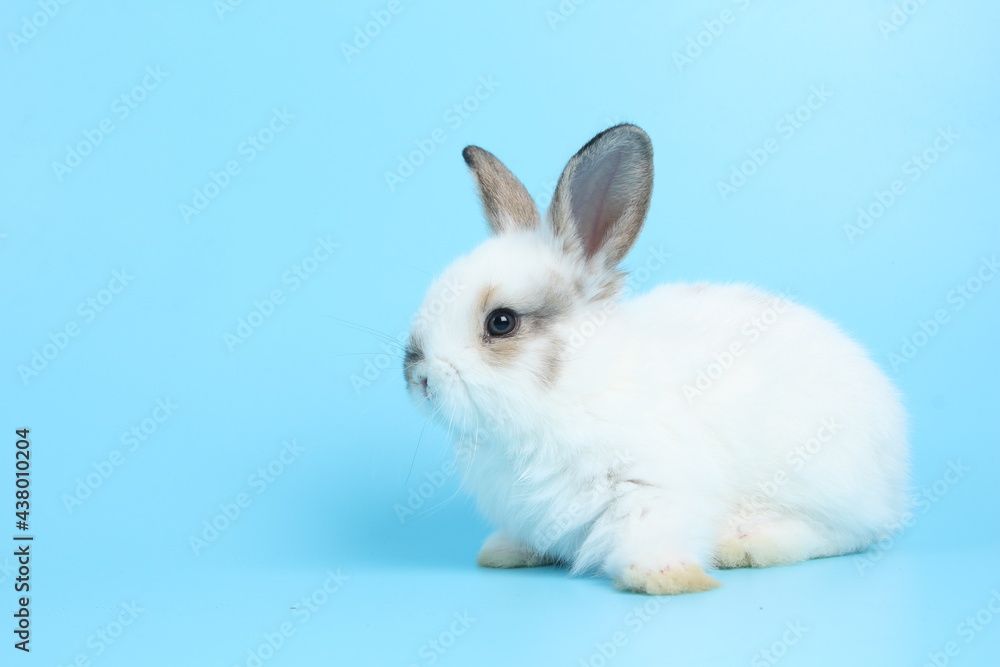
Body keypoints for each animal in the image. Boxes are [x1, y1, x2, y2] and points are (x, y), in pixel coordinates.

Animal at [402, 124, 912, 596]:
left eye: (502, 322)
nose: (418, 377)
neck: (568, 389)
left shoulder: (650, 486)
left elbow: (648, 532)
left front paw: (666, 577)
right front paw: (504, 550)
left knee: (842, 533)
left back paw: (745, 542)